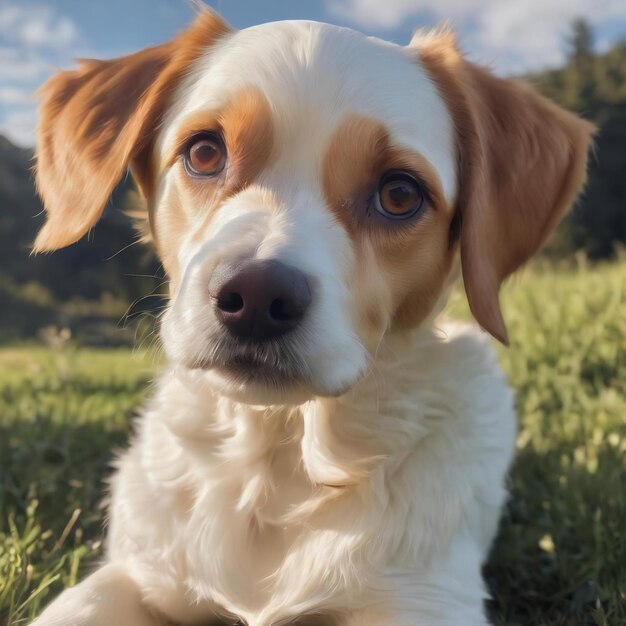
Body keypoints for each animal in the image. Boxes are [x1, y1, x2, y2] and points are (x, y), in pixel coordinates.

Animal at [29, 6, 588, 624]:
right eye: (205, 152)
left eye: (399, 193)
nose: (255, 298)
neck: (278, 459)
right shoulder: (137, 572)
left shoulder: (425, 599)